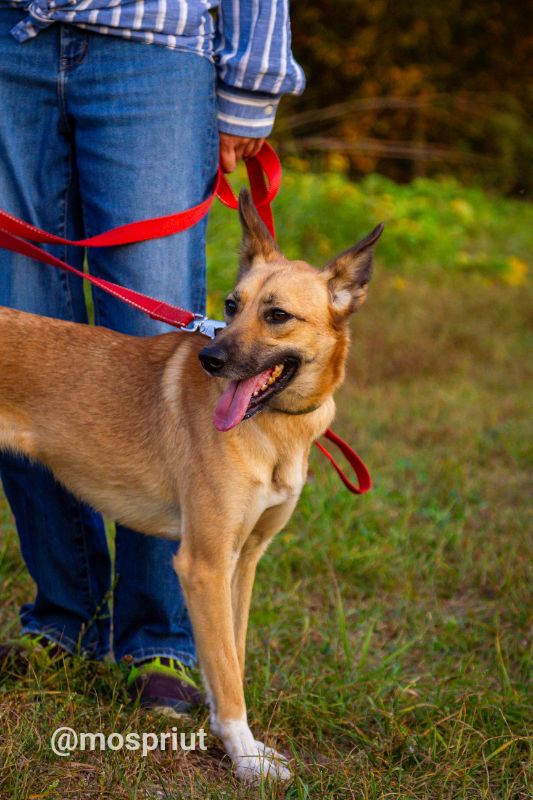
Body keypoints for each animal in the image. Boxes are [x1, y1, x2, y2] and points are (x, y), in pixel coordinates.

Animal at [0, 192, 382, 780]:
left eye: (277, 315)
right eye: (231, 305)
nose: (210, 360)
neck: (274, 428)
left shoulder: (243, 562)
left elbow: (230, 659)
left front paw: (234, 739)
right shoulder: (204, 564)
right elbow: (225, 672)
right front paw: (246, 757)